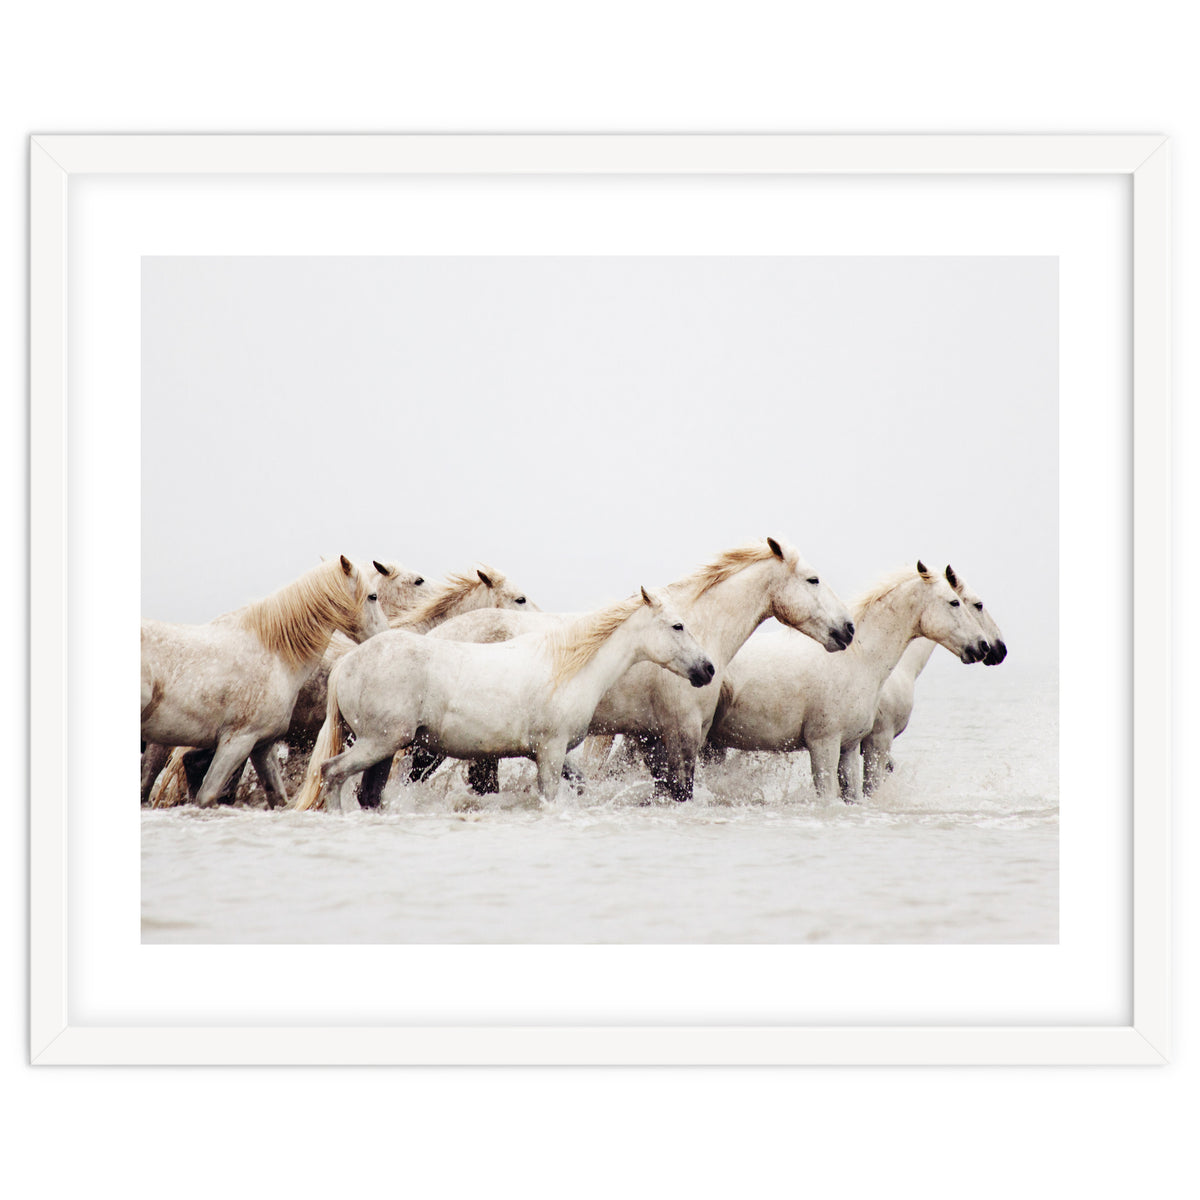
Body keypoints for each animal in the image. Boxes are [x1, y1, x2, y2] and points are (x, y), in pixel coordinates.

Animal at [142, 558, 425, 807]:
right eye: (372, 596)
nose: (386, 636)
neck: (275, 653)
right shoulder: (237, 741)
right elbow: (208, 796)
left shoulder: (261, 744)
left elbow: (277, 797)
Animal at [292, 587, 717, 811]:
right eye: (678, 626)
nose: (707, 669)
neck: (567, 667)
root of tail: (347, 663)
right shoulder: (550, 751)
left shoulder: (552, 753)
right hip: (379, 743)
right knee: (332, 773)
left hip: (385, 748)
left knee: (368, 793)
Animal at [417, 537, 856, 802]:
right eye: (813, 579)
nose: (848, 629)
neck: (697, 627)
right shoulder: (681, 735)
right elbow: (680, 791)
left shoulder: (651, 738)